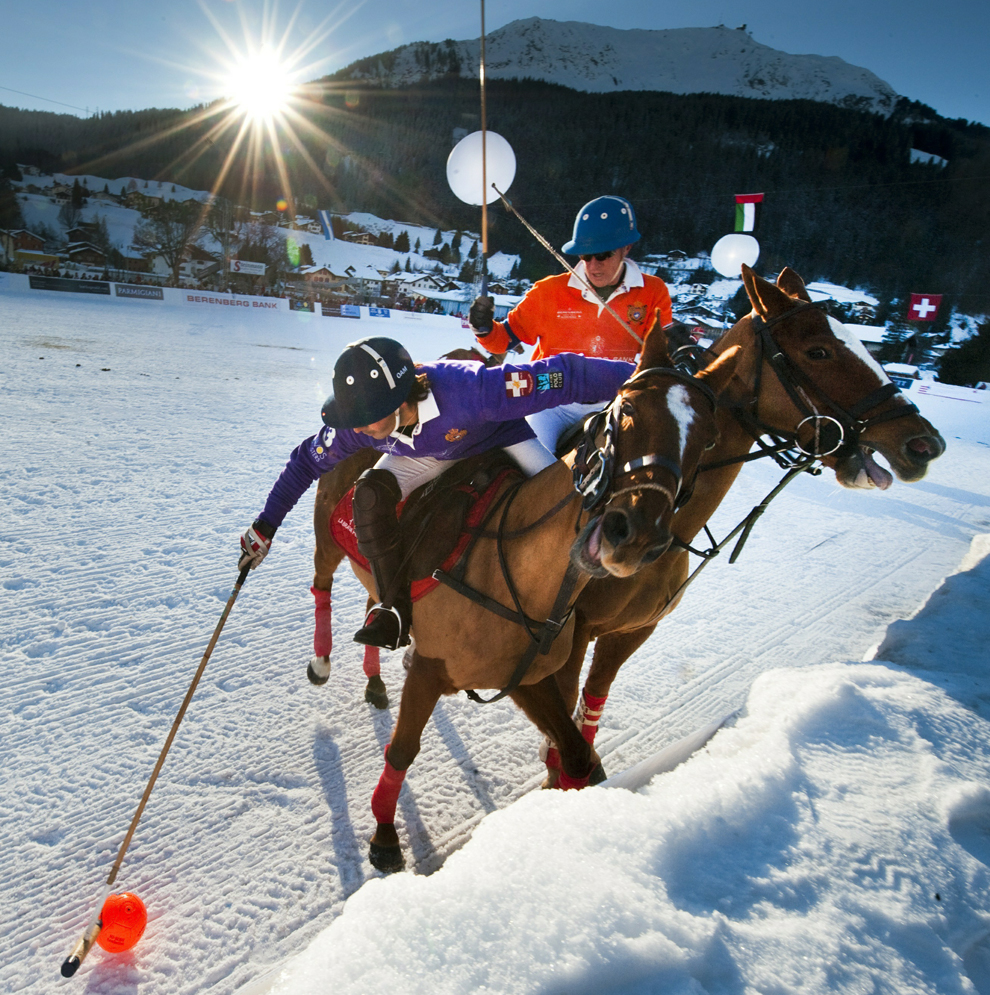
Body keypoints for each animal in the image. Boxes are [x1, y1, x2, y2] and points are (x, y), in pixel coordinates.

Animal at [314, 328, 740, 872]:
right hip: (328, 535)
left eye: (707, 439)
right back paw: (323, 658)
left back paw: (375, 668)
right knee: (333, 562)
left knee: (373, 597)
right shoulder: (432, 669)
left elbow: (579, 757)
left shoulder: (526, 677)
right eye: (626, 410)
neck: (515, 568)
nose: (636, 536)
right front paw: (386, 835)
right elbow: (403, 749)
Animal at [548, 268, 948, 784]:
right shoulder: (566, 635)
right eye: (818, 350)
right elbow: (560, 740)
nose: (924, 444)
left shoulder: (631, 632)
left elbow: (587, 716)